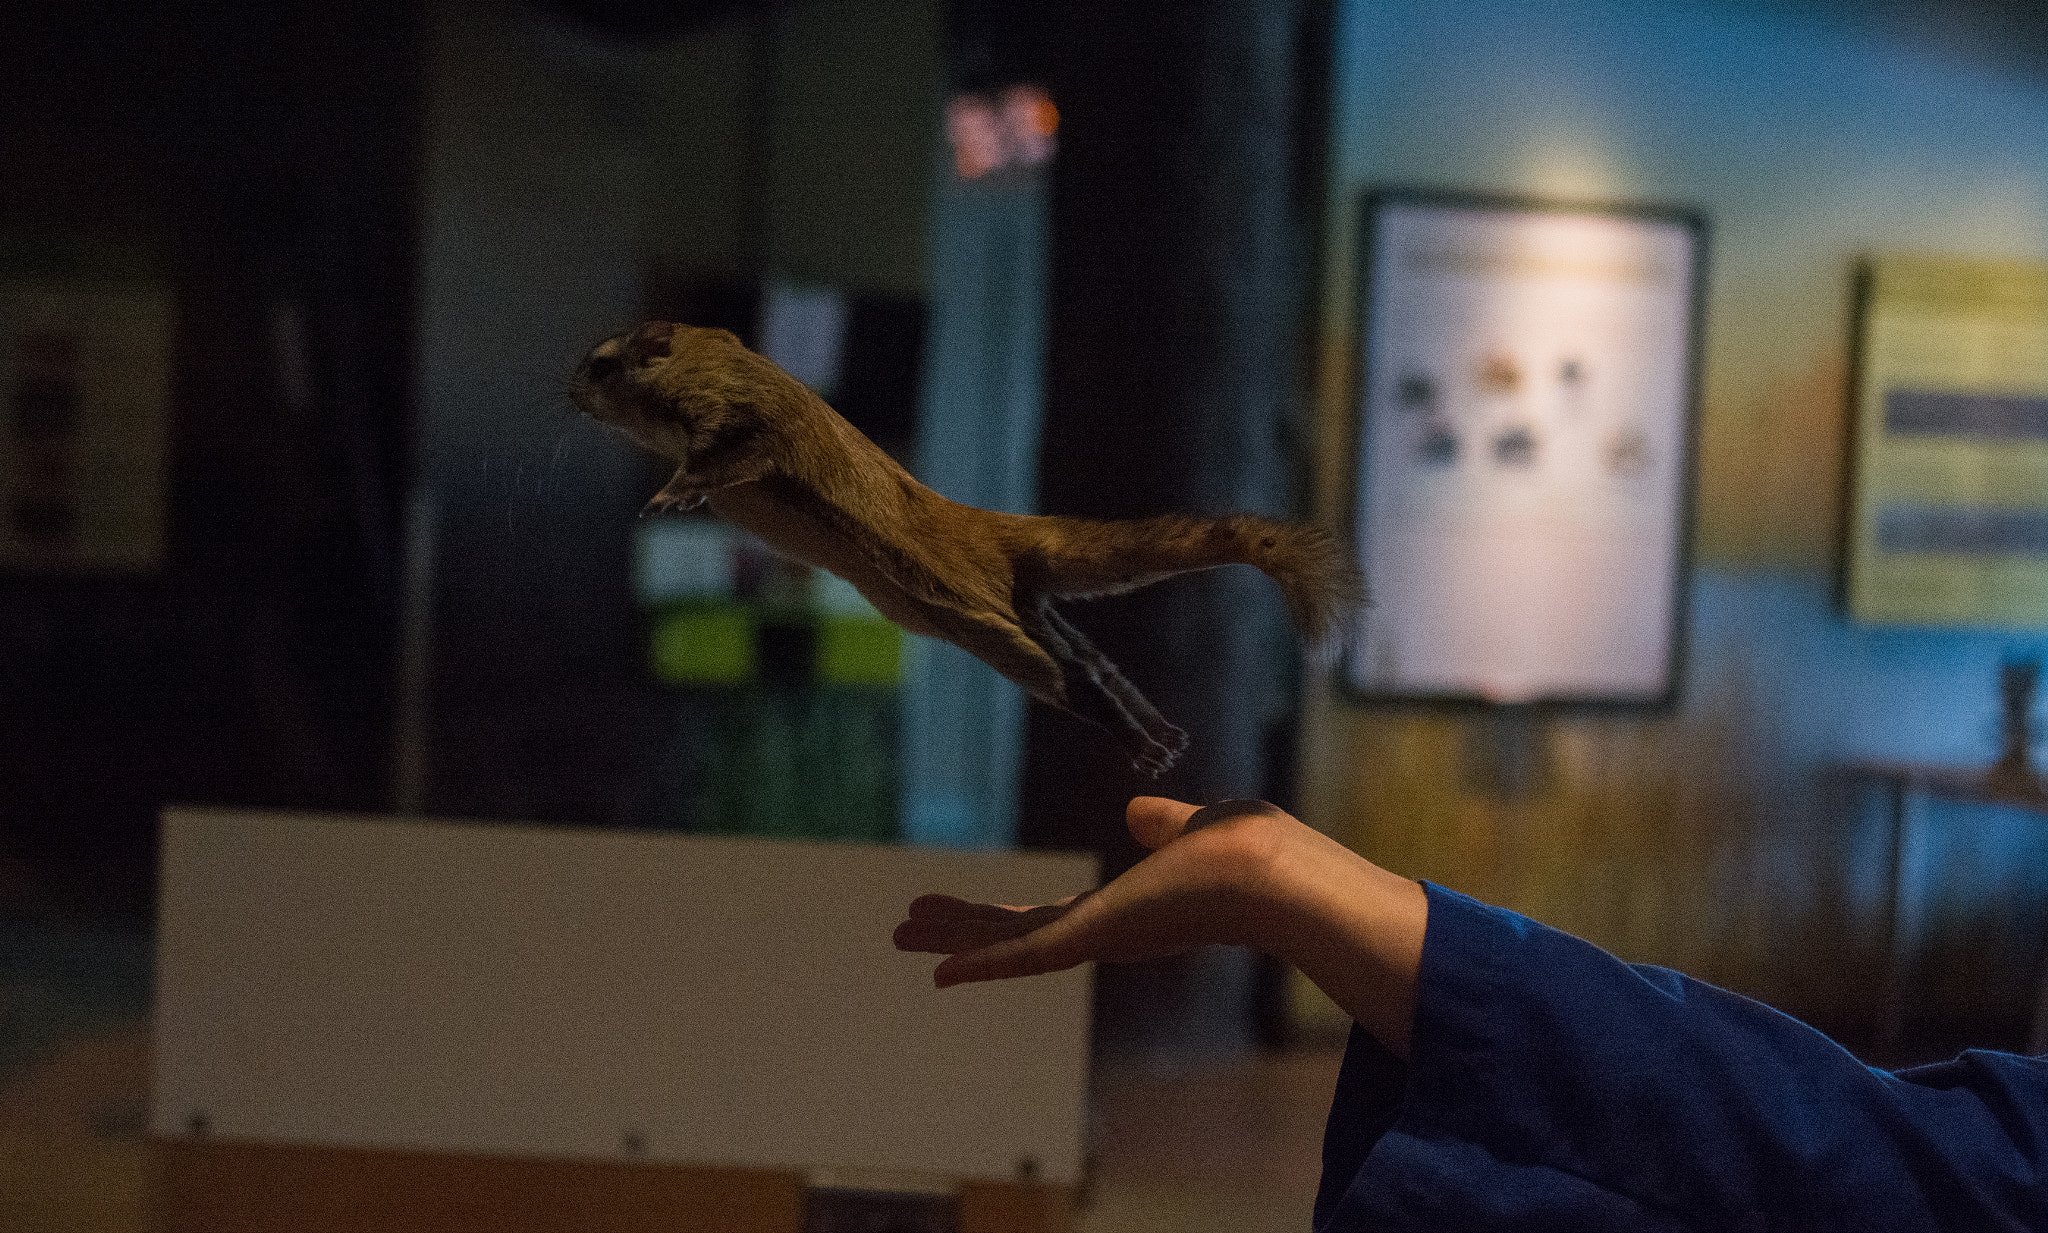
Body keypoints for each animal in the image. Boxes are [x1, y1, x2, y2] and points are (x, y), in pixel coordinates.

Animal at [571, 320, 1364, 776]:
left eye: (601, 365)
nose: (568, 390)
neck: (724, 368)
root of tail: (996, 530)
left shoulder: (748, 431)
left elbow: (718, 461)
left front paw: (671, 494)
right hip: (1027, 610)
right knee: (1097, 660)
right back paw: (1164, 734)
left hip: (981, 620)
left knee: (1073, 677)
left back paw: (1144, 745)